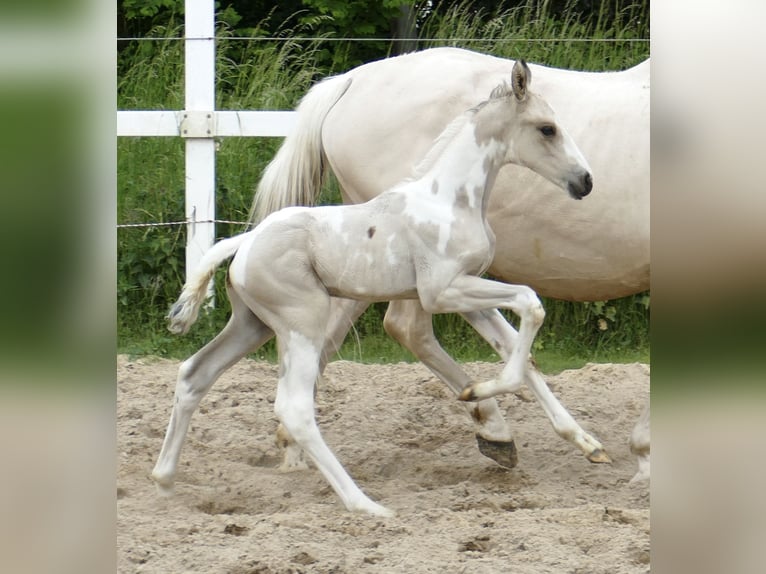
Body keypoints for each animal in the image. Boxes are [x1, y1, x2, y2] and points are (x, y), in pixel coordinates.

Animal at [152, 60, 602, 516]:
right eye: (547, 128)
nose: (584, 181)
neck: (448, 200)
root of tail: (243, 241)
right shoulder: (441, 291)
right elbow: (530, 302)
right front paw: (476, 391)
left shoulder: (467, 292)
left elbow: (518, 349)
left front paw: (587, 443)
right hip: (303, 322)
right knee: (294, 408)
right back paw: (367, 506)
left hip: (253, 324)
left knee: (194, 375)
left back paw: (165, 482)